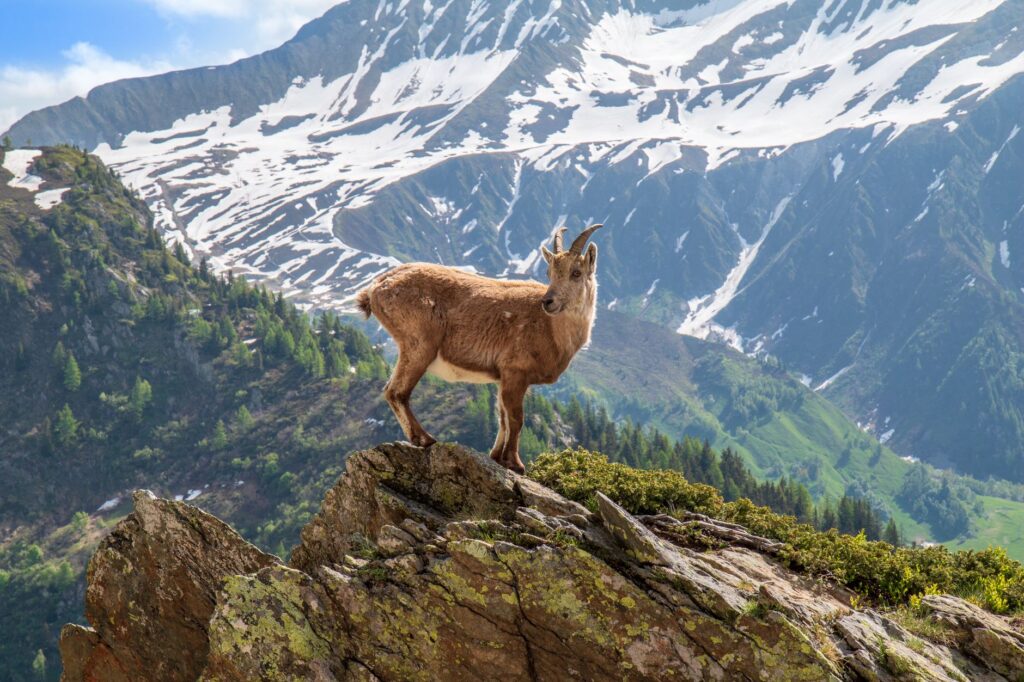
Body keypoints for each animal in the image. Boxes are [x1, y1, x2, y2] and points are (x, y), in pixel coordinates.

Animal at [356, 224, 603, 474]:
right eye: (549, 273)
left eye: (576, 273)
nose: (548, 302)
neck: (552, 330)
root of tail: (376, 287)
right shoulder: (515, 371)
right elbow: (516, 418)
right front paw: (515, 463)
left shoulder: (502, 377)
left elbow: (502, 417)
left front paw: (497, 457)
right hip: (419, 344)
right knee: (396, 391)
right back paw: (425, 439)